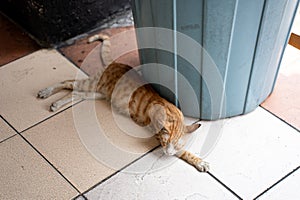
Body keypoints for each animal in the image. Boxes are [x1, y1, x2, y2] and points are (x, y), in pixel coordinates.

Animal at [37, 33, 209, 171]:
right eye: (165, 143)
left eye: (176, 144)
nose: (167, 153)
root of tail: (114, 63)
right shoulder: (156, 131)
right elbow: (182, 152)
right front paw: (197, 160)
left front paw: (197, 160)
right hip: (91, 83)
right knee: (67, 82)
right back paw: (46, 92)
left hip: (97, 94)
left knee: (76, 94)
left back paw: (57, 103)